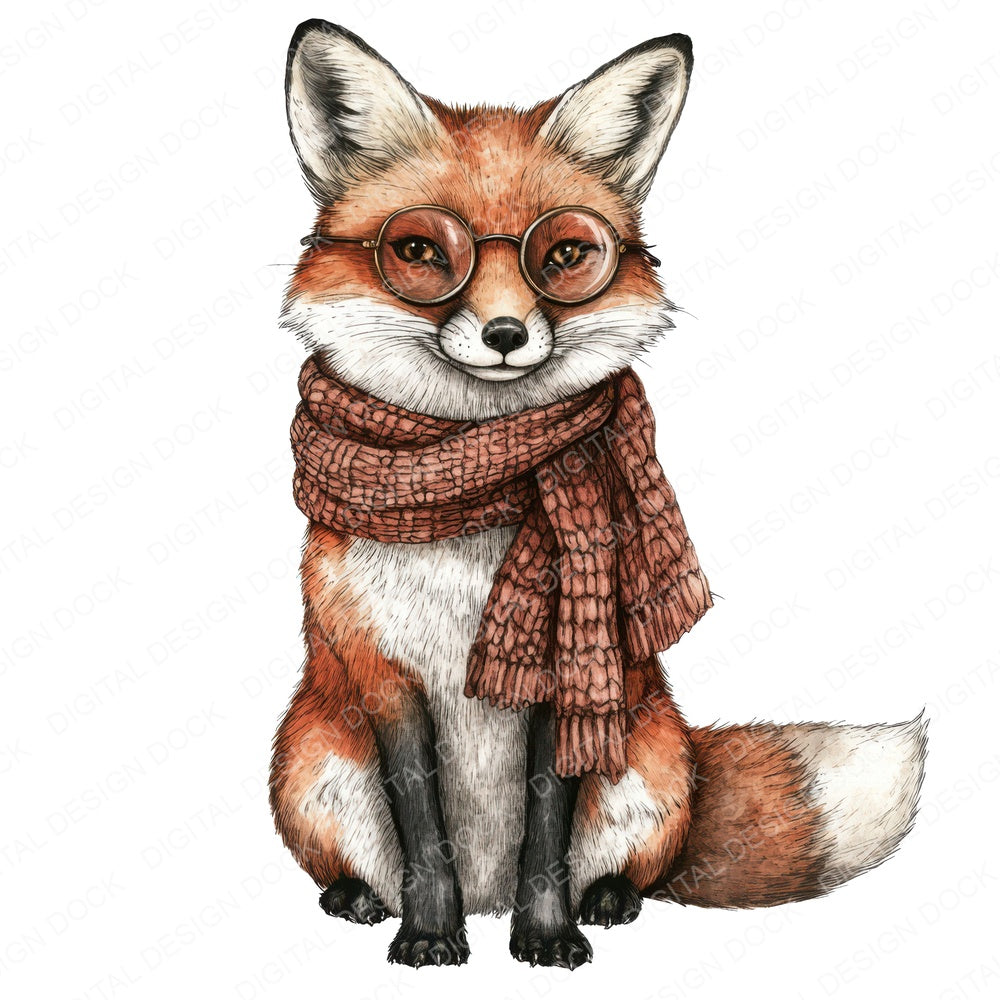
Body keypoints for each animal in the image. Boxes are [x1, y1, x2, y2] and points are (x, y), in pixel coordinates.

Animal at [269, 19, 927, 969]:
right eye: (420, 251)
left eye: (565, 255)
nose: (506, 333)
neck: (473, 484)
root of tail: (490, 895)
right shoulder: (384, 674)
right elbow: (425, 833)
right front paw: (429, 935)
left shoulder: (569, 681)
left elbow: (548, 824)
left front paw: (548, 937)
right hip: (312, 761)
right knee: (359, 862)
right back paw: (358, 899)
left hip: (650, 763)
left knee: (639, 868)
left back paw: (608, 900)